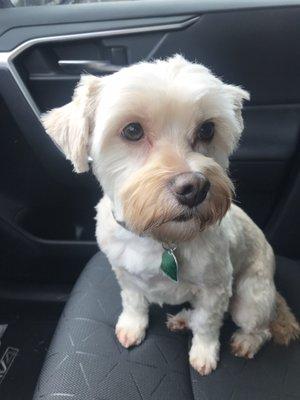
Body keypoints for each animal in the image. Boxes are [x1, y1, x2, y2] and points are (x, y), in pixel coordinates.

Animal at [42, 54, 300, 374]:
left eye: (207, 129)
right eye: (132, 130)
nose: (194, 188)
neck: (159, 236)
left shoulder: (216, 288)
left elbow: (207, 323)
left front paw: (203, 353)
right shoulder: (124, 273)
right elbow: (133, 301)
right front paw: (133, 325)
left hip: (250, 297)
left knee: (259, 327)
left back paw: (245, 341)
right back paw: (182, 319)